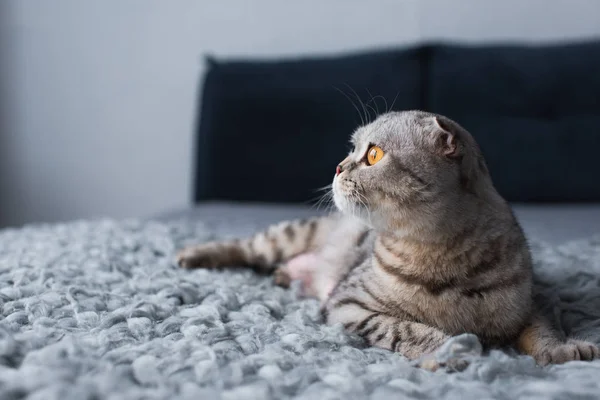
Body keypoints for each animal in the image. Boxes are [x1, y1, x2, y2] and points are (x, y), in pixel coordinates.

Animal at [176, 109, 596, 366]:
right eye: (352, 149)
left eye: (374, 155)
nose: (337, 166)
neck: (440, 255)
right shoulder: (349, 305)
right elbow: (411, 329)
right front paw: (452, 351)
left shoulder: (530, 303)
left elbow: (545, 330)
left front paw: (565, 350)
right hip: (288, 234)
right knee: (246, 247)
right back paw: (192, 254)